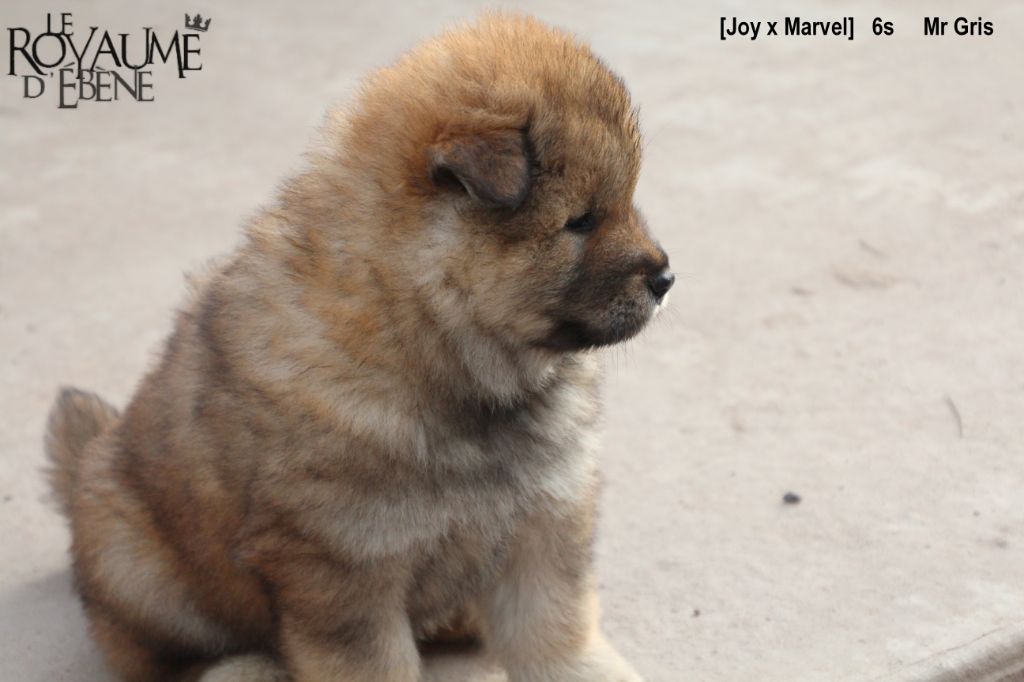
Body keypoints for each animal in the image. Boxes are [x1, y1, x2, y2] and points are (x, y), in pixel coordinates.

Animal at [45, 13, 673, 682]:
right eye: (581, 221)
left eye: (625, 202)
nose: (666, 278)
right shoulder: (344, 566)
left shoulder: (541, 524)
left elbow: (558, 636)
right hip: (133, 557)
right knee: (162, 653)